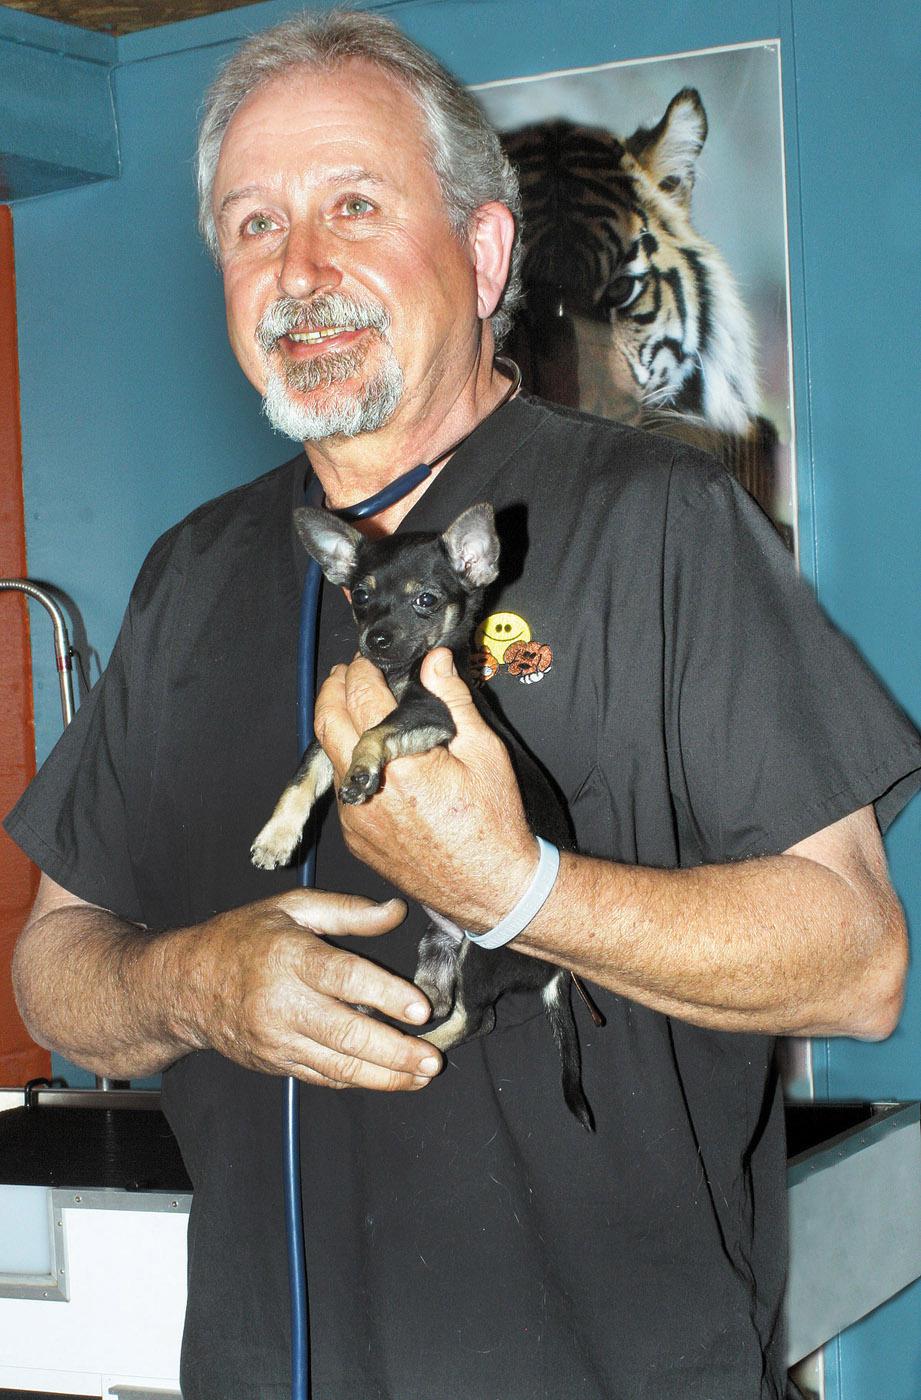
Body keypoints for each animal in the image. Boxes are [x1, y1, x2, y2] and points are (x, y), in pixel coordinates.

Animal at [250, 504, 596, 1125]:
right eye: (361, 595)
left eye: (427, 600)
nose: (376, 639)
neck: (393, 675)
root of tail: (558, 973)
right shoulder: (324, 740)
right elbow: (299, 781)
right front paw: (277, 838)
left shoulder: (433, 715)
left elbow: (375, 730)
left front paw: (362, 770)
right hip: (438, 947)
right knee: (433, 1000)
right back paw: (395, 1023)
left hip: (485, 962)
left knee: (473, 1018)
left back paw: (425, 1053)